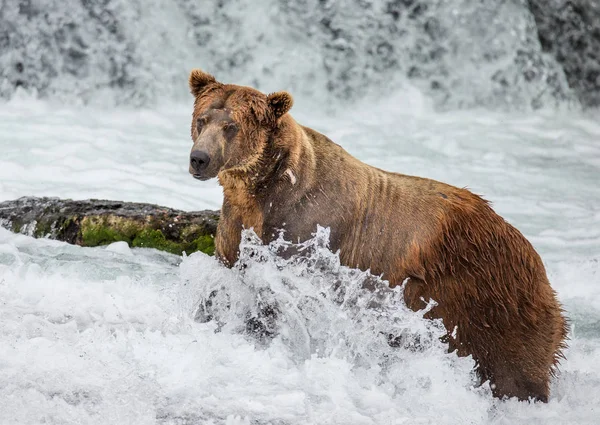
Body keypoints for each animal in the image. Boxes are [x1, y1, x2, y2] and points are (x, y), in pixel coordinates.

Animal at [186, 68, 568, 400]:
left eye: (231, 126)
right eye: (201, 119)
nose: (199, 158)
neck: (262, 192)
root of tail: (535, 259)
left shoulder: (305, 230)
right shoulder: (236, 227)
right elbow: (227, 284)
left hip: (486, 299)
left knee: (513, 369)